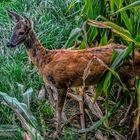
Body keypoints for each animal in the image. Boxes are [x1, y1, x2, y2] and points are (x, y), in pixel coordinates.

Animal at [6, 10, 140, 135]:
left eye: (21, 32)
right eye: (12, 30)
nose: (9, 44)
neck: (45, 61)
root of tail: (136, 53)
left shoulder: (61, 83)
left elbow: (59, 108)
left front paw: (57, 132)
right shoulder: (51, 85)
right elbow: (54, 105)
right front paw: (58, 125)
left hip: (126, 75)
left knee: (134, 96)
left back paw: (123, 121)